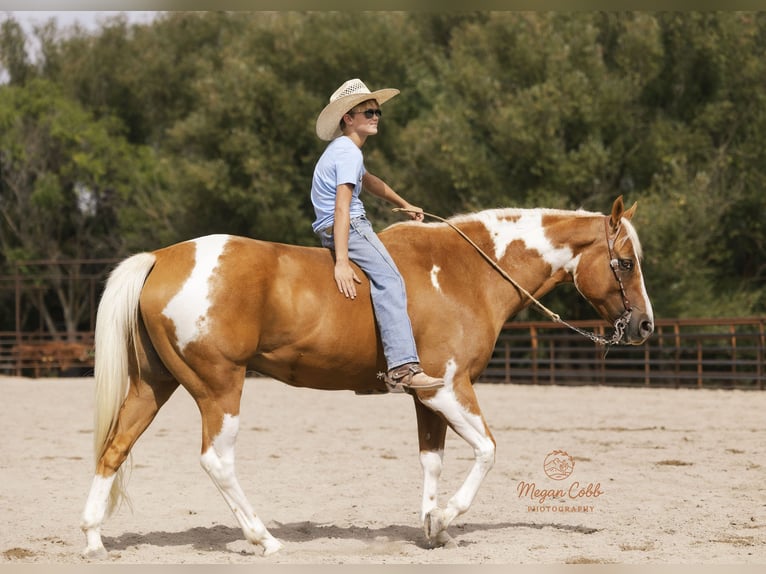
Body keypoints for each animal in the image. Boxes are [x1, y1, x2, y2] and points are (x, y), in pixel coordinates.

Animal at [80, 196, 653, 558]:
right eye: (625, 262)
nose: (644, 325)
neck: (466, 272)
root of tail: (161, 258)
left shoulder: (427, 397)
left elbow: (432, 460)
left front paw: (432, 530)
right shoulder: (451, 388)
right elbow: (488, 450)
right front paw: (446, 519)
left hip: (154, 385)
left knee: (114, 448)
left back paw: (92, 538)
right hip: (220, 387)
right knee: (216, 462)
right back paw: (264, 538)